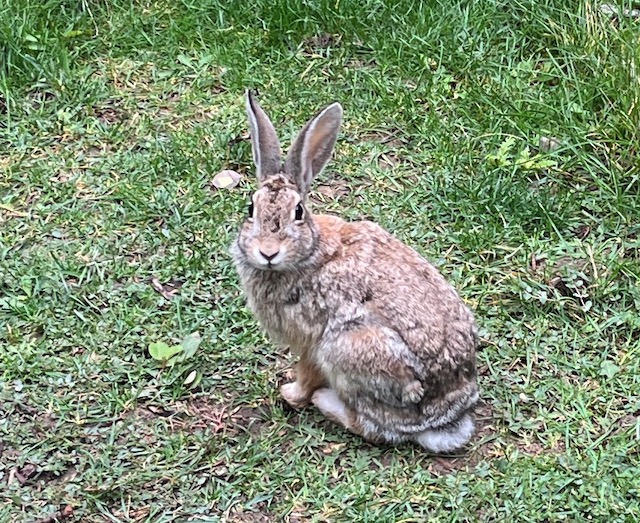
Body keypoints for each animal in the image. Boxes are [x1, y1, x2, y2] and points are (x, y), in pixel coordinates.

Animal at [231, 91, 480, 454]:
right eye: (251, 209)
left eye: (298, 212)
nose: (267, 252)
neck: (310, 251)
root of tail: (443, 419)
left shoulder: (309, 343)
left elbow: (305, 375)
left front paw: (290, 393)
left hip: (347, 350)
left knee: (374, 428)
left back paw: (324, 401)